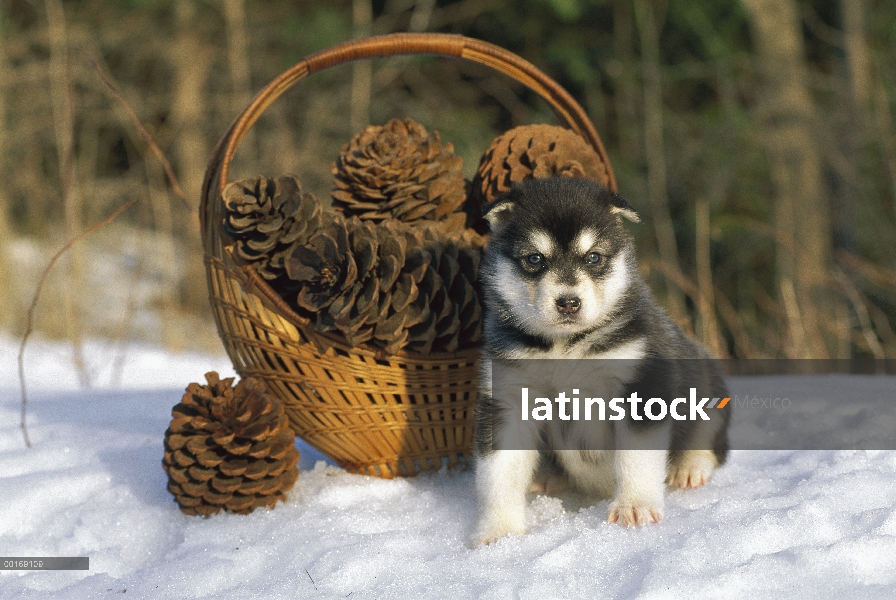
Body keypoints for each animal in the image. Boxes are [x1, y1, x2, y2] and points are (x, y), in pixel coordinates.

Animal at [472, 177, 732, 544]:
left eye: (593, 257)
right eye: (535, 258)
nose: (568, 302)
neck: (565, 348)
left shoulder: (643, 385)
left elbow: (636, 458)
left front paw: (634, 506)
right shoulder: (507, 399)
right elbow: (499, 473)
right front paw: (500, 532)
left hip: (707, 384)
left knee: (710, 441)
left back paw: (689, 467)